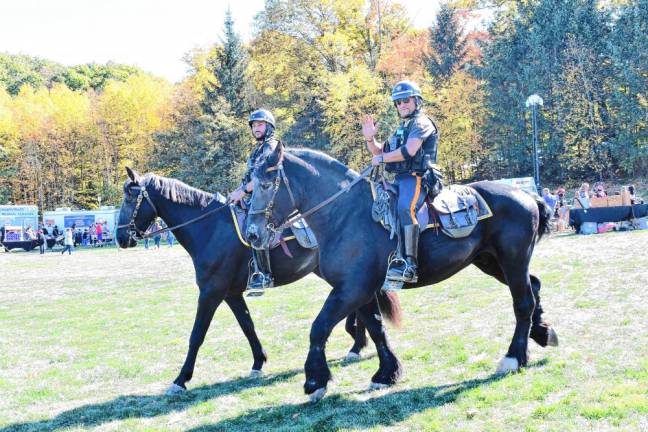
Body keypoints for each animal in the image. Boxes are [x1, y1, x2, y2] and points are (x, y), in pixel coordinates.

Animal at [116, 168, 400, 394]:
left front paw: (181, 379)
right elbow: (247, 326)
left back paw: (357, 346)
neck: (209, 228)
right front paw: (258, 362)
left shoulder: (211, 292)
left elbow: (197, 335)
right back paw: (357, 345)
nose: (120, 238)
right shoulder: (230, 294)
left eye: (130, 197)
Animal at [243, 143, 556, 402]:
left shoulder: (351, 289)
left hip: (513, 260)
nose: (252, 234)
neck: (344, 216)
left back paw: (514, 357)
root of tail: (527, 195)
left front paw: (314, 381)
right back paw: (542, 332)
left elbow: (318, 327)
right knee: (534, 286)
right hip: (491, 262)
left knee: (523, 302)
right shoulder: (361, 291)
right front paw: (386, 373)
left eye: (267, 184)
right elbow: (376, 328)